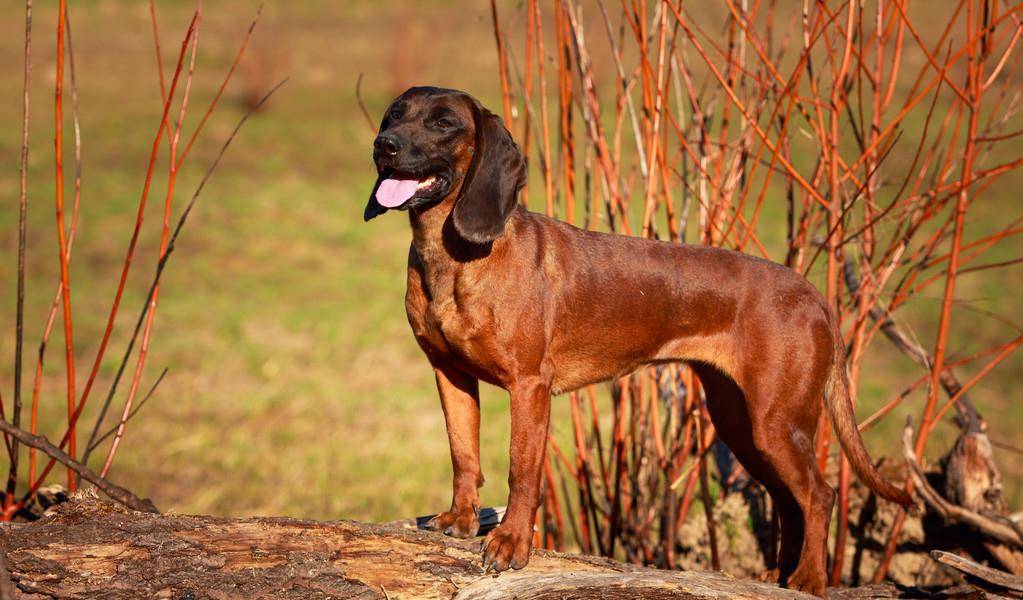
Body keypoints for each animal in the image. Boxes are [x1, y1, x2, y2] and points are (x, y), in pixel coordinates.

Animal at [362, 86, 912, 596]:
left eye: (442, 123)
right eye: (393, 115)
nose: (383, 145)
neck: (454, 256)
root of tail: (815, 295)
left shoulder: (529, 387)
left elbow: (522, 471)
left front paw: (512, 543)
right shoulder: (450, 375)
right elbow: (463, 454)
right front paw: (460, 519)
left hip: (779, 421)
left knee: (819, 495)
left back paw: (810, 580)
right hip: (742, 423)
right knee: (786, 499)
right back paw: (780, 574)